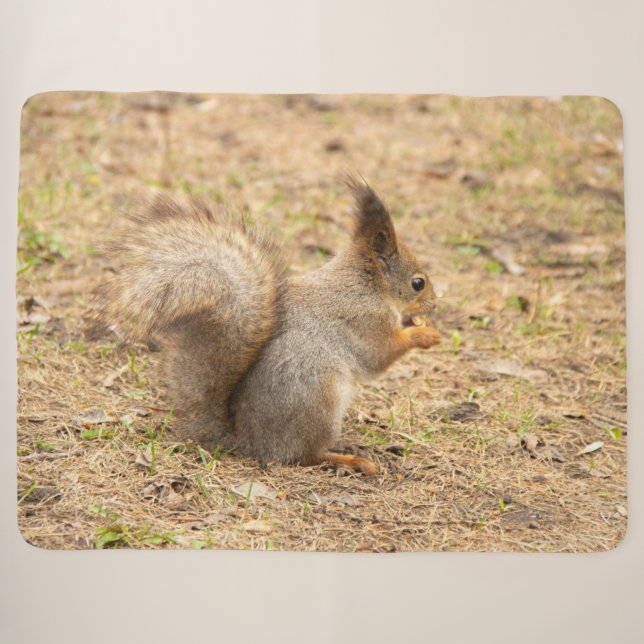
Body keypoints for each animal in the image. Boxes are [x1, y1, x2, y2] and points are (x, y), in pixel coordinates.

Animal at [96, 177, 441, 476]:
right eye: (418, 283)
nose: (434, 305)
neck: (365, 285)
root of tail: (250, 442)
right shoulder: (366, 320)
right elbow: (379, 356)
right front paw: (424, 334)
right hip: (319, 400)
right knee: (305, 455)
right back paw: (349, 460)